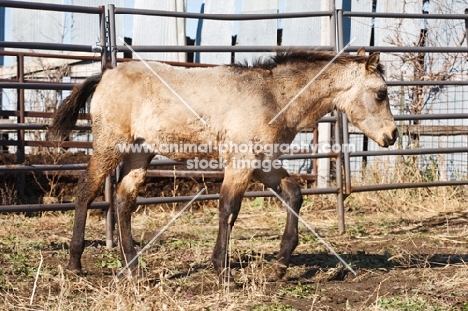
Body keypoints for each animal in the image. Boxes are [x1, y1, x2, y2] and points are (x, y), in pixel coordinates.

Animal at [50, 47, 394, 284]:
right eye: (381, 93)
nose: (392, 135)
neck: (271, 97)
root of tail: (105, 75)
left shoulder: (263, 164)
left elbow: (293, 195)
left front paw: (281, 264)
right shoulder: (240, 163)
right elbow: (228, 209)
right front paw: (223, 272)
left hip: (139, 153)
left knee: (123, 200)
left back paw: (133, 266)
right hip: (111, 145)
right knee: (86, 191)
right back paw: (75, 263)